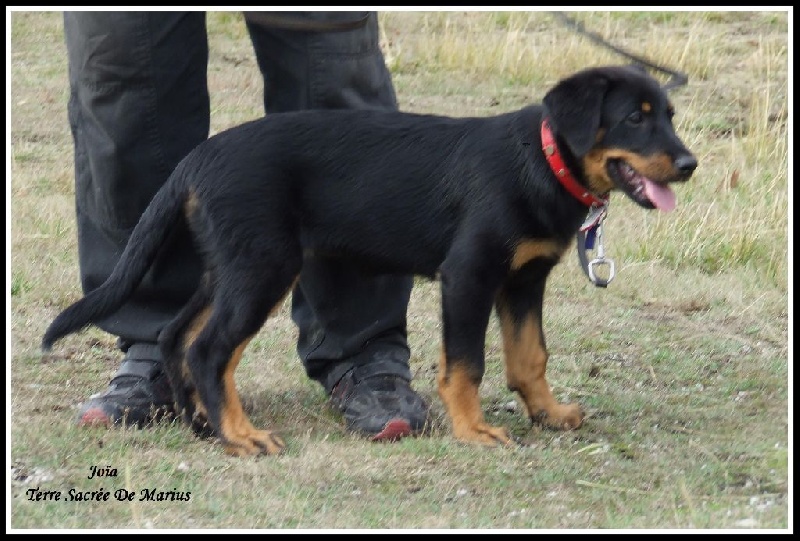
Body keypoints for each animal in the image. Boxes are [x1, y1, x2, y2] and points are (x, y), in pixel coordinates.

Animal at [42, 65, 692, 458]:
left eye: (668, 115)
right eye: (635, 117)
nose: (689, 164)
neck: (541, 158)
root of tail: (195, 160)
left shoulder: (524, 281)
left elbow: (530, 357)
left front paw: (549, 413)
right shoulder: (468, 276)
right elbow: (467, 365)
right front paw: (473, 429)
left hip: (230, 266)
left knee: (177, 334)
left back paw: (201, 422)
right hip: (264, 268)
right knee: (209, 349)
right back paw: (241, 435)